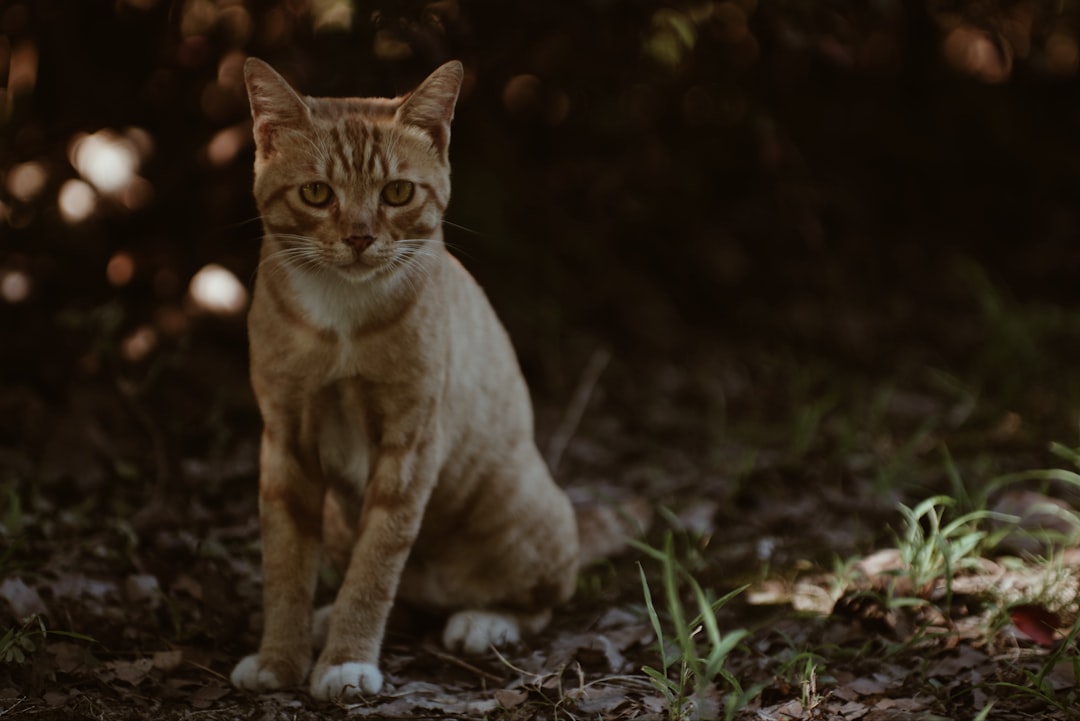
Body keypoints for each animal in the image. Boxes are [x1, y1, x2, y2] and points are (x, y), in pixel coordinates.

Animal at [232, 59, 587, 699]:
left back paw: (484, 622)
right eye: (317, 193)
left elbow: (376, 566)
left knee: (542, 598)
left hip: (519, 507)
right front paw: (279, 658)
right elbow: (286, 565)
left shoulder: (410, 444)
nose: (359, 236)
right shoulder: (285, 440)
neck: (341, 317)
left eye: (397, 192)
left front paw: (347, 661)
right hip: (337, 514)